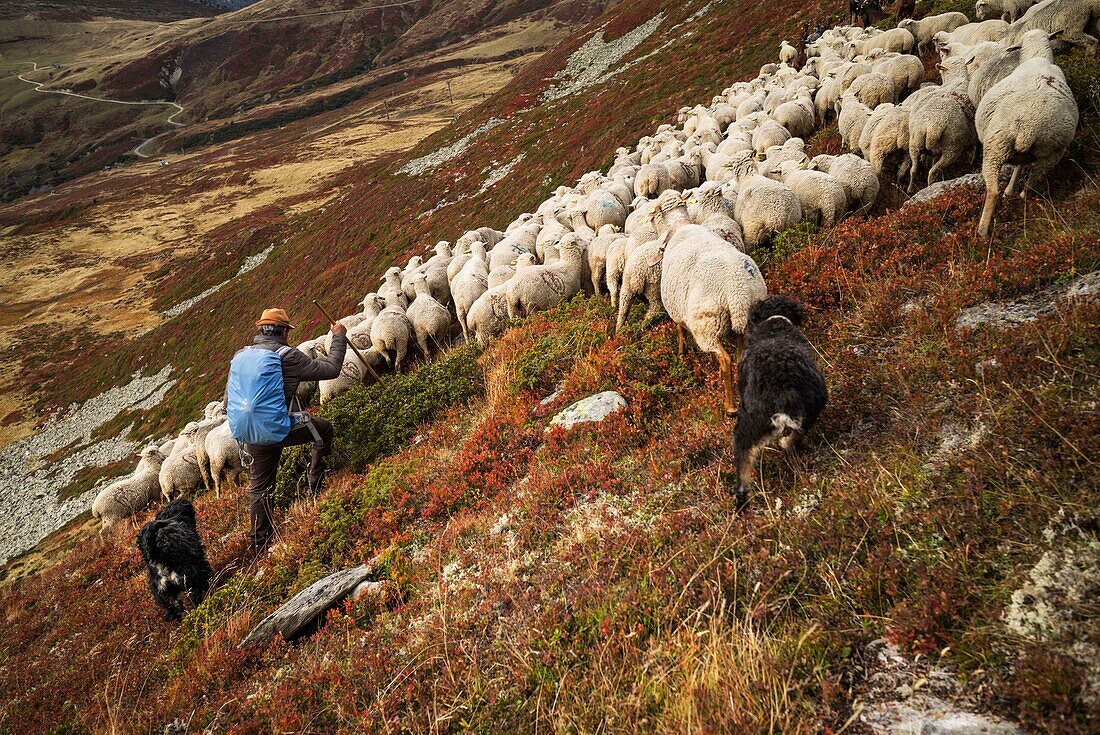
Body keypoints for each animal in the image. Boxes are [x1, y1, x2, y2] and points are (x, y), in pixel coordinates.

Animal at [730, 294, 827, 508]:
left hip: (746, 427)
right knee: (794, 439)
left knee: (744, 469)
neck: (774, 321)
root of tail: (784, 393)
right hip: (814, 404)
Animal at [976, 30, 1078, 236]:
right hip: (1054, 150)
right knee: (1033, 180)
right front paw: (1010, 190)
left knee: (993, 190)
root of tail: (1029, 128)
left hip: (995, 147)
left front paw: (1008, 191)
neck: (1037, 57)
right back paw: (1022, 198)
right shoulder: (1026, 155)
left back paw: (982, 231)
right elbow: (1019, 167)